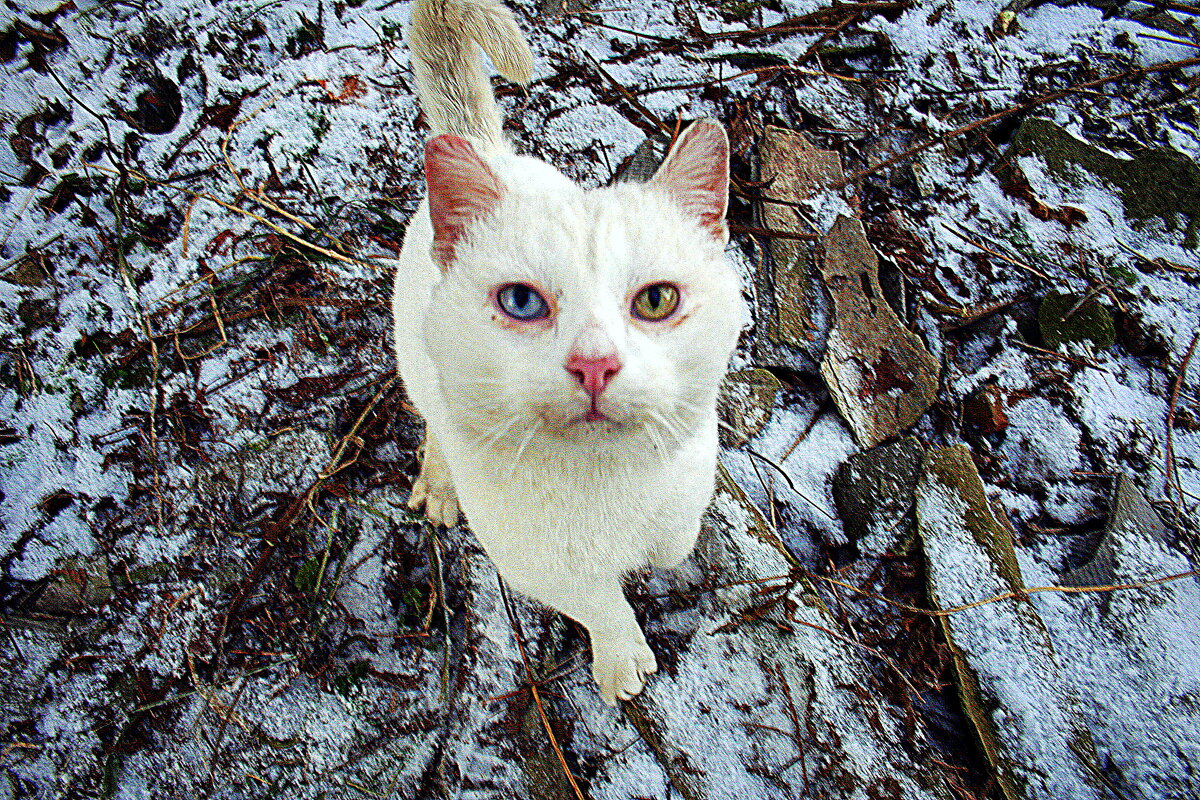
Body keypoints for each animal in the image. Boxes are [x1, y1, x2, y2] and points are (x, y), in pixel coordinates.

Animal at [393, 0, 744, 705]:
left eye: (657, 300)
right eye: (521, 302)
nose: (594, 364)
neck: (608, 486)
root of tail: (491, 151)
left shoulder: (690, 478)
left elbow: (674, 542)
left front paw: (658, 558)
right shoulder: (533, 562)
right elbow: (599, 603)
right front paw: (622, 657)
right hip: (419, 368)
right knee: (434, 423)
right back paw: (439, 484)